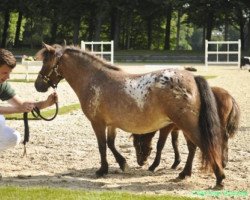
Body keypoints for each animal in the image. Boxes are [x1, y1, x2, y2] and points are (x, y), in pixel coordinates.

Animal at [36, 43, 226, 188]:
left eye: (46, 61)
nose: (38, 85)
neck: (94, 79)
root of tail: (192, 77)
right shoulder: (111, 124)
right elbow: (111, 144)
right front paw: (123, 163)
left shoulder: (97, 123)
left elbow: (102, 146)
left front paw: (102, 170)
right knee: (194, 147)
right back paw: (184, 174)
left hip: (187, 124)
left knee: (204, 145)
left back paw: (219, 178)